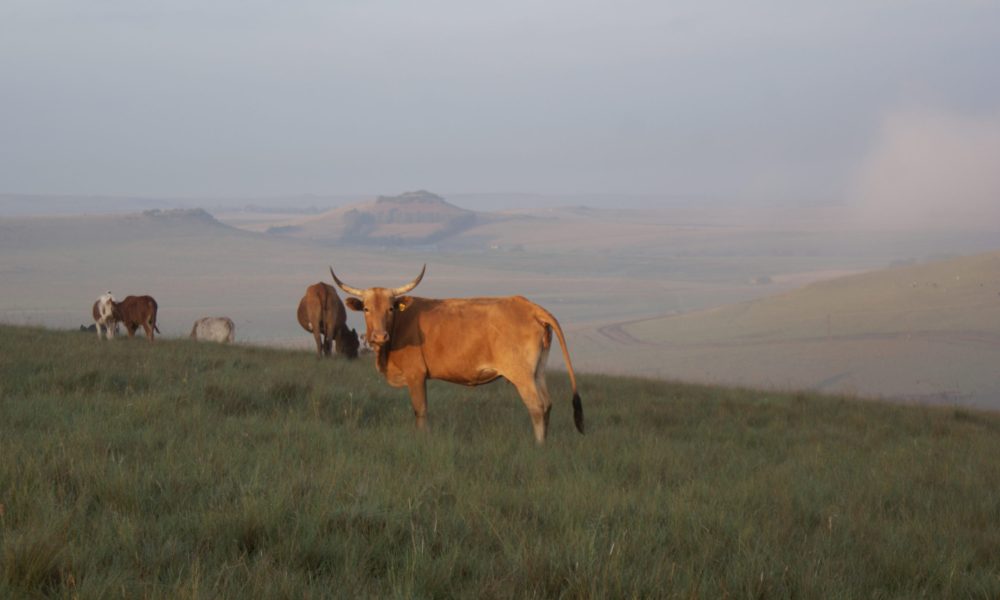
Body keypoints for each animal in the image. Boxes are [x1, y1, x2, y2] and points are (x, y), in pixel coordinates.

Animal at [332, 264, 584, 442]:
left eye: (391, 308)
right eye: (366, 309)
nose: (379, 336)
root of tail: (528, 306)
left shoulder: (416, 375)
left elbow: (420, 410)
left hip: (521, 375)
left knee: (537, 407)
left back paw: (538, 446)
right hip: (538, 371)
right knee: (547, 404)